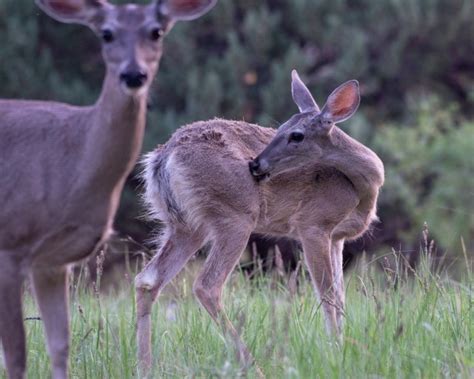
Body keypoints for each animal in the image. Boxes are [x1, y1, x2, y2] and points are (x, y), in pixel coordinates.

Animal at [0, 0, 217, 379]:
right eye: (106, 33)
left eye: (156, 31)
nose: (133, 75)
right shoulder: (10, 244)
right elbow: (16, 353)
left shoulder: (53, 260)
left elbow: (60, 345)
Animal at [134, 70, 386, 376]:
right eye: (278, 130)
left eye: (295, 134)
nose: (256, 164)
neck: (363, 187)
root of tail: (163, 158)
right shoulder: (313, 225)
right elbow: (327, 295)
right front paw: (336, 353)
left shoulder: (338, 238)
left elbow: (340, 296)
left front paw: (344, 346)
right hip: (236, 216)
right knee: (207, 285)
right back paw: (254, 367)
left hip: (184, 225)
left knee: (147, 280)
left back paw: (145, 368)